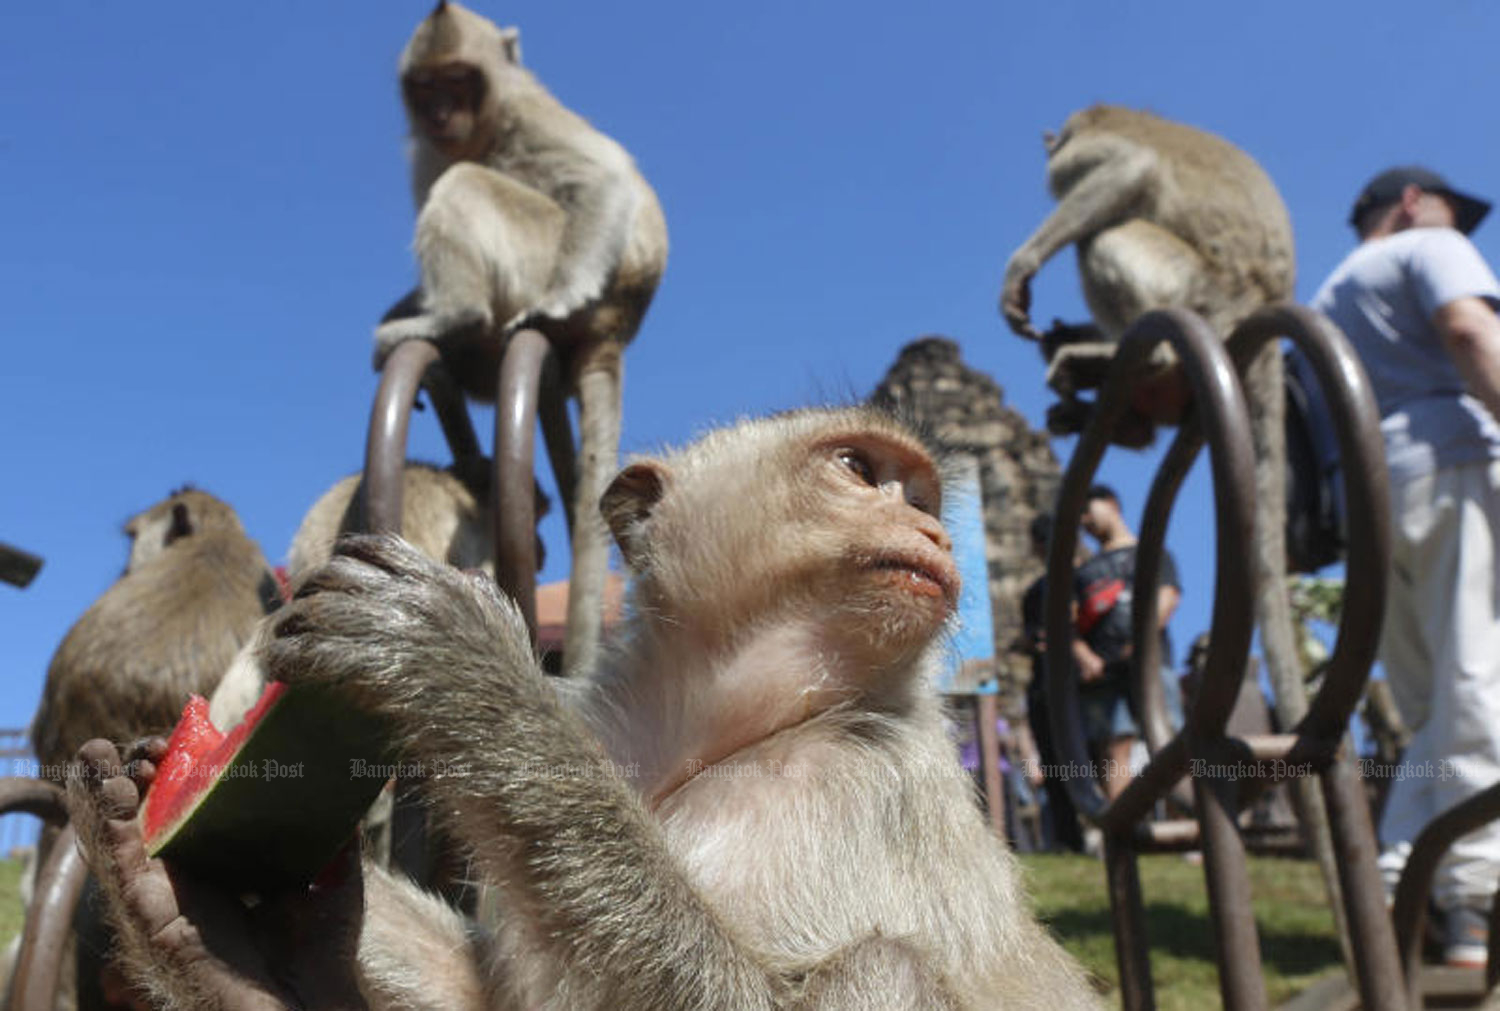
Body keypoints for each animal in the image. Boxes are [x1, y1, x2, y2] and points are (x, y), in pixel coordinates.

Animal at [67, 408, 1104, 1008]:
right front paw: (228, 929)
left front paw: (466, 670)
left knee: (883, 967)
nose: (934, 526)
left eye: (921, 492)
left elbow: (744, 998)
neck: (733, 726)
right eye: (859, 467)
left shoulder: (868, 775)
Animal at [373, 1, 669, 678]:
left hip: (539, 246)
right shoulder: (425, 148)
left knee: (466, 184)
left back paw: (454, 316)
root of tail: (617, 323)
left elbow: (605, 178)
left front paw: (559, 296)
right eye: (427, 86)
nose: (440, 113)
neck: (483, 128)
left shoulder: (525, 114)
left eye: (460, 80)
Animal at [996, 104, 1290, 444]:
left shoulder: (1069, 158)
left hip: (1204, 290)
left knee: (1100, 238)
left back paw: (1143, 359)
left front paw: (1021, 267)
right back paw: (1125, 421)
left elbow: (1129, 166)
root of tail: (1263, 298)